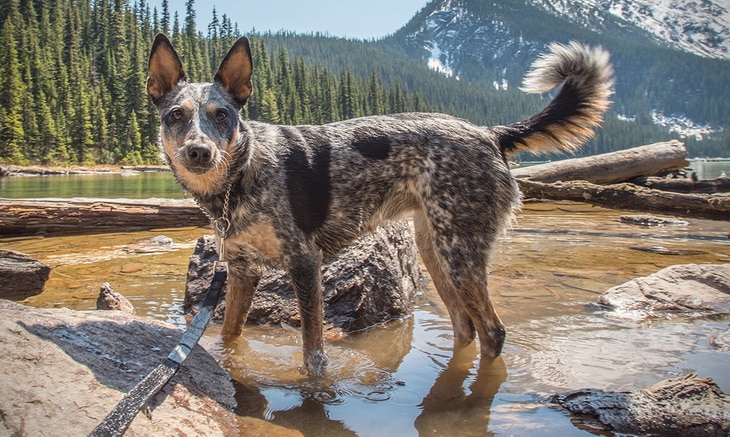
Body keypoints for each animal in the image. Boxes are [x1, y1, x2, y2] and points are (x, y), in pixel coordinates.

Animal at [145, 34, 612, 376]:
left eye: (221, 115)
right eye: (176, 116)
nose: (199, 152)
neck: (242, 175)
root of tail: (489, 132)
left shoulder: (304, 264)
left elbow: (313, 352)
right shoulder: (243, 271)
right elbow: (229, 336)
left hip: (459, 252)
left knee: (493, 331)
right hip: (435, 249)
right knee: (465, 327)